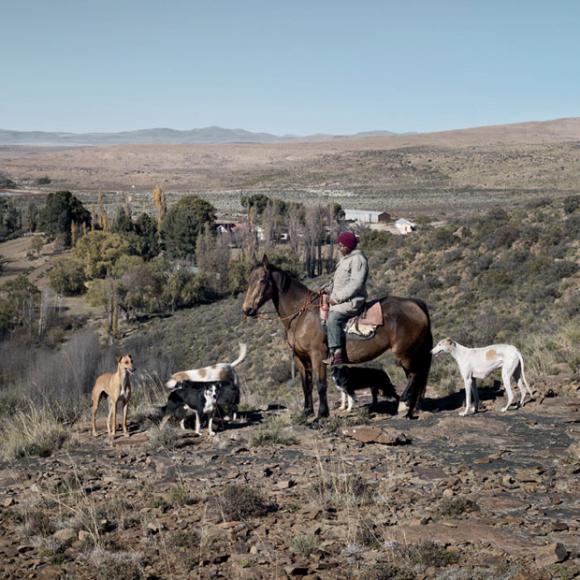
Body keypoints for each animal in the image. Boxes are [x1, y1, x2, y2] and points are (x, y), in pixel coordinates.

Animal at [241, 256, 430, 420]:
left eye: (262, 280)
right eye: (248, 280)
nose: (247, 309)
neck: (302, 315)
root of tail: (414, 303)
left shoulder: (317, 356)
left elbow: (320, 384)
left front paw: (321, 415)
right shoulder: (300, 358)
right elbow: (306, 385)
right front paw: (306, 412)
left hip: (405, 354)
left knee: (415, 375)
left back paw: (404, 406)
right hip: (410, 354)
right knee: (415, 376)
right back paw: (410, 409)